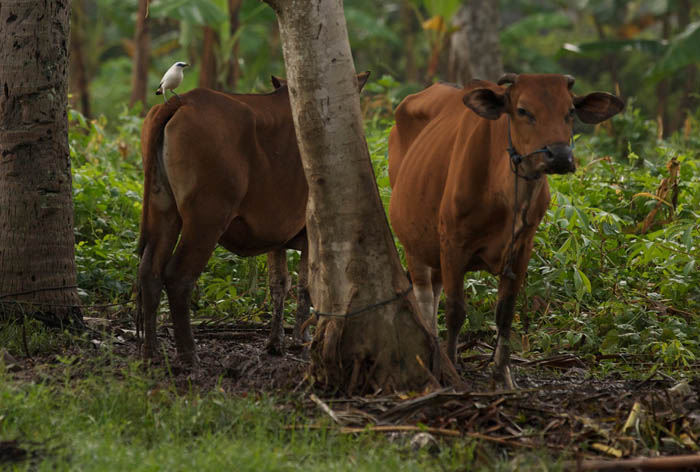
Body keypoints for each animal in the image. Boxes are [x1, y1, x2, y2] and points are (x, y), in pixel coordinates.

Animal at [138, 72, 372, 364]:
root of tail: (184, 101)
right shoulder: (309, 233)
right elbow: (306, 284)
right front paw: (300, 339)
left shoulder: (276, 236)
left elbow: (279, 283)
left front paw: (275, 342)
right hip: (206, 219)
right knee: (178, 277)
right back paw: (189, 354)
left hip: (164, 210)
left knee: (149, 271)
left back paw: (151, 352)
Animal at [388, 74, 624, 390]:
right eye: (523, 110)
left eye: (570, 111)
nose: (560, 156)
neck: (504, 193)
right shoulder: (452, 243)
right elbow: (455, 310)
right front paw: (454, 368)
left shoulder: (522, 248)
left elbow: (505, 313)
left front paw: (502, 375)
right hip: (413, 241)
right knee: (425, 296)